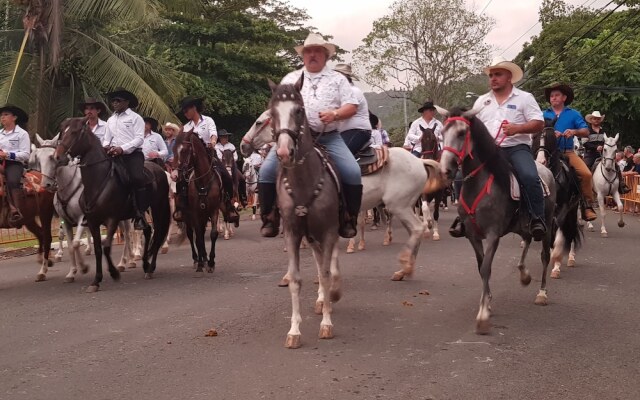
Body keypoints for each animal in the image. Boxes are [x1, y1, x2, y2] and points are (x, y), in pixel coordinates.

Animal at [54, 117, 171, 292]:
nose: (58, 157)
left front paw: (114, 272)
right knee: (148, 231)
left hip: (158, 208)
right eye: (62, 131)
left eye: (74, 132)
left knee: (157, 235)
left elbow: (107, 246)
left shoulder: (112, 220)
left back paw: (150, 269)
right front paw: (96, 280)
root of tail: (160, 169)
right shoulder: (93, 222)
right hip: (142, 212)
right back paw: (145, 264)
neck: (98, 181)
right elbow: (97, 248)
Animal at [171, 128, 221, 276]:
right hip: (188, 216)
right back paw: (197, 259)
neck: (204, 182)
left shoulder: (214, 210)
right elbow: (198, 237)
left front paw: (211, 262)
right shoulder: (194, 213)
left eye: (185, 150)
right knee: (191, 234)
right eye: (173, 150)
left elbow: (213, 234)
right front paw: (200, 264)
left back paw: (204, 258)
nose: (174, 175)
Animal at [240, 109, 444, 282]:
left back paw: (405, 265)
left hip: (398, 205)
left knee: (417, 228)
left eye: (259, 122)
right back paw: (405, 270)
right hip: (404, 205)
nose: (243, 145)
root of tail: (419, 161)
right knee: (414, 229)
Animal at [268, 76, 342, 348]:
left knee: (327, 267)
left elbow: (327, 274)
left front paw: (327, 324)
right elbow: (296, 279)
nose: (283, 152)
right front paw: (294, 331)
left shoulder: (330, 231)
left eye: (299, 110)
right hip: (311, 237)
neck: (304, 183)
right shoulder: (293, 233)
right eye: (272, 113)